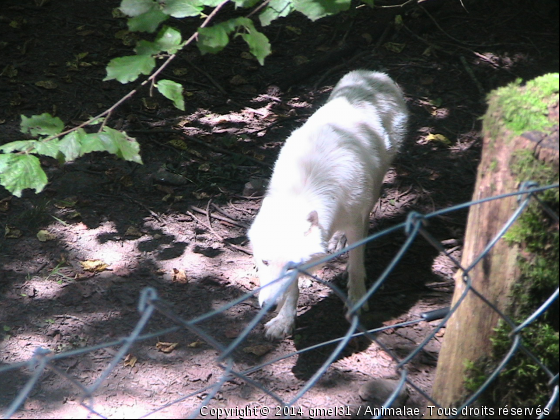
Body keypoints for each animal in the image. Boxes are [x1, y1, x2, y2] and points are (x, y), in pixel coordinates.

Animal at [249, 70, 406, 340]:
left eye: (289, 266)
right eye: (265, 262)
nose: (268, 306)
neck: (302, 190)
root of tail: (372, 74)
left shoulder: (354, 221)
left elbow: (356, 266)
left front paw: (356, 299)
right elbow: (292, 291)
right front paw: (284, 320)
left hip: (375, 187)